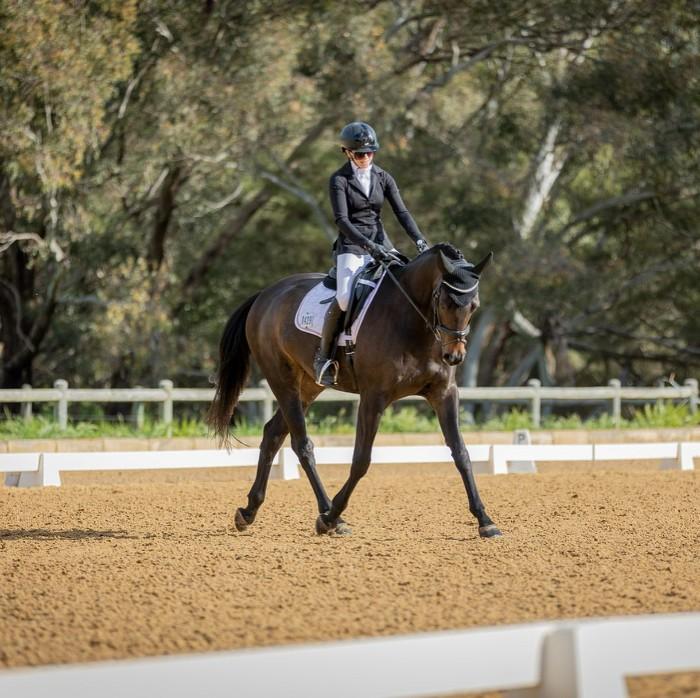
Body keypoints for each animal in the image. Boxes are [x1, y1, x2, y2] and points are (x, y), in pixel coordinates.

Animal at [207, 242, 501, 538]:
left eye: (474, 305)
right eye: (444, 302)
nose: (454, 356)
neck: (412, 322)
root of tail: (266, 294)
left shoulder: (444, 394)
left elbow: (461, 453)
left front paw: (485, 520)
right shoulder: (374, 397)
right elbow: (361, 460)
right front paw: (330, 516)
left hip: (308, 386)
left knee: (273, 434)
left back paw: (249, 511)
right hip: (282, 380)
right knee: (302, 444)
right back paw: (330, 516)